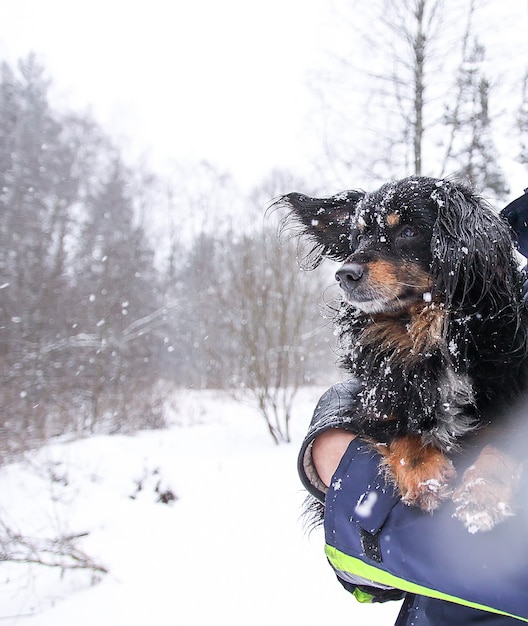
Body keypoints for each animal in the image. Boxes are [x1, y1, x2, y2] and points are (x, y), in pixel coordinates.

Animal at [278, 176, 528, 532]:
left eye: (408, 232)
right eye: (358, 237)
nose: (344, 274)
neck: (427, 333)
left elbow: (501, 447)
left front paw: (482, 494)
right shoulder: (373, 400)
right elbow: (399, 430)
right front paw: (426, 476)